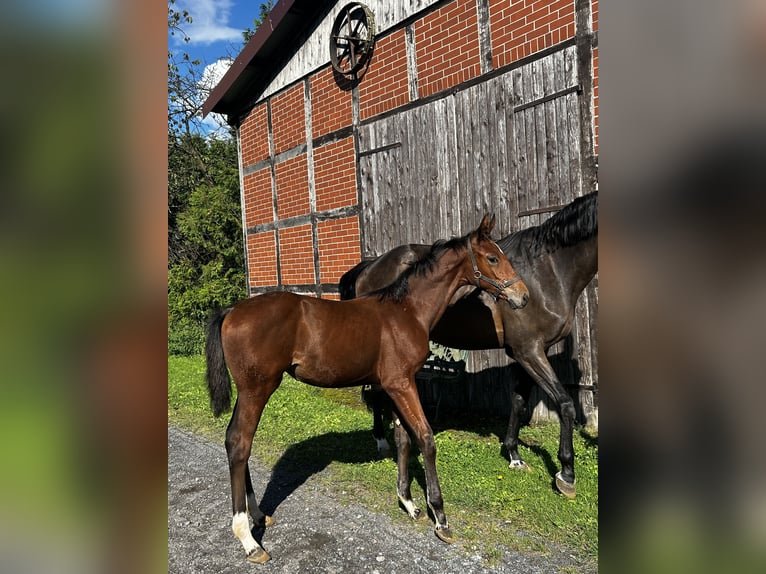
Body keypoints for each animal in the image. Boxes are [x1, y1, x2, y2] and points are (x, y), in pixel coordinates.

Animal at [206, 217, 528, 568]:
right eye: (493, 257)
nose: (522, 296)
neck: (406, 311)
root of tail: (231, 310)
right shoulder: (401, 383)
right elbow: (425, 438)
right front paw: (441, 519)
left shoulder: (395, 384)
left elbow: (403, 439)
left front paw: (409, 503)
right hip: (258, 388)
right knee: (239, 442)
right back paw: (249, 540)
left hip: (251, 390)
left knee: (235, 440)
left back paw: (259, 515)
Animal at [342, 192, 600, 500]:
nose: (521, 297)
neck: (547, 271)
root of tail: (369, 265)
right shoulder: (530, 351)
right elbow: (565, 404)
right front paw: (566, 474)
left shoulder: (531, 352)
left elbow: (518, 401)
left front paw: (514, 456)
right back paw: (381, 440)